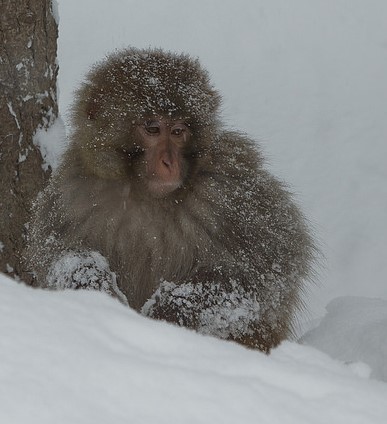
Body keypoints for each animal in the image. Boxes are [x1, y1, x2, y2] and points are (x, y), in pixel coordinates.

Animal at [24, 47, 316, 352]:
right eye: (152, 129)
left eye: (178, 131)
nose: (169, 162)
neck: (144, 194)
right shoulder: (72, 191)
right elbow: (59, 254)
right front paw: (93, 282)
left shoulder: (229, 188)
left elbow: (270, 267)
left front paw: (169, 311)